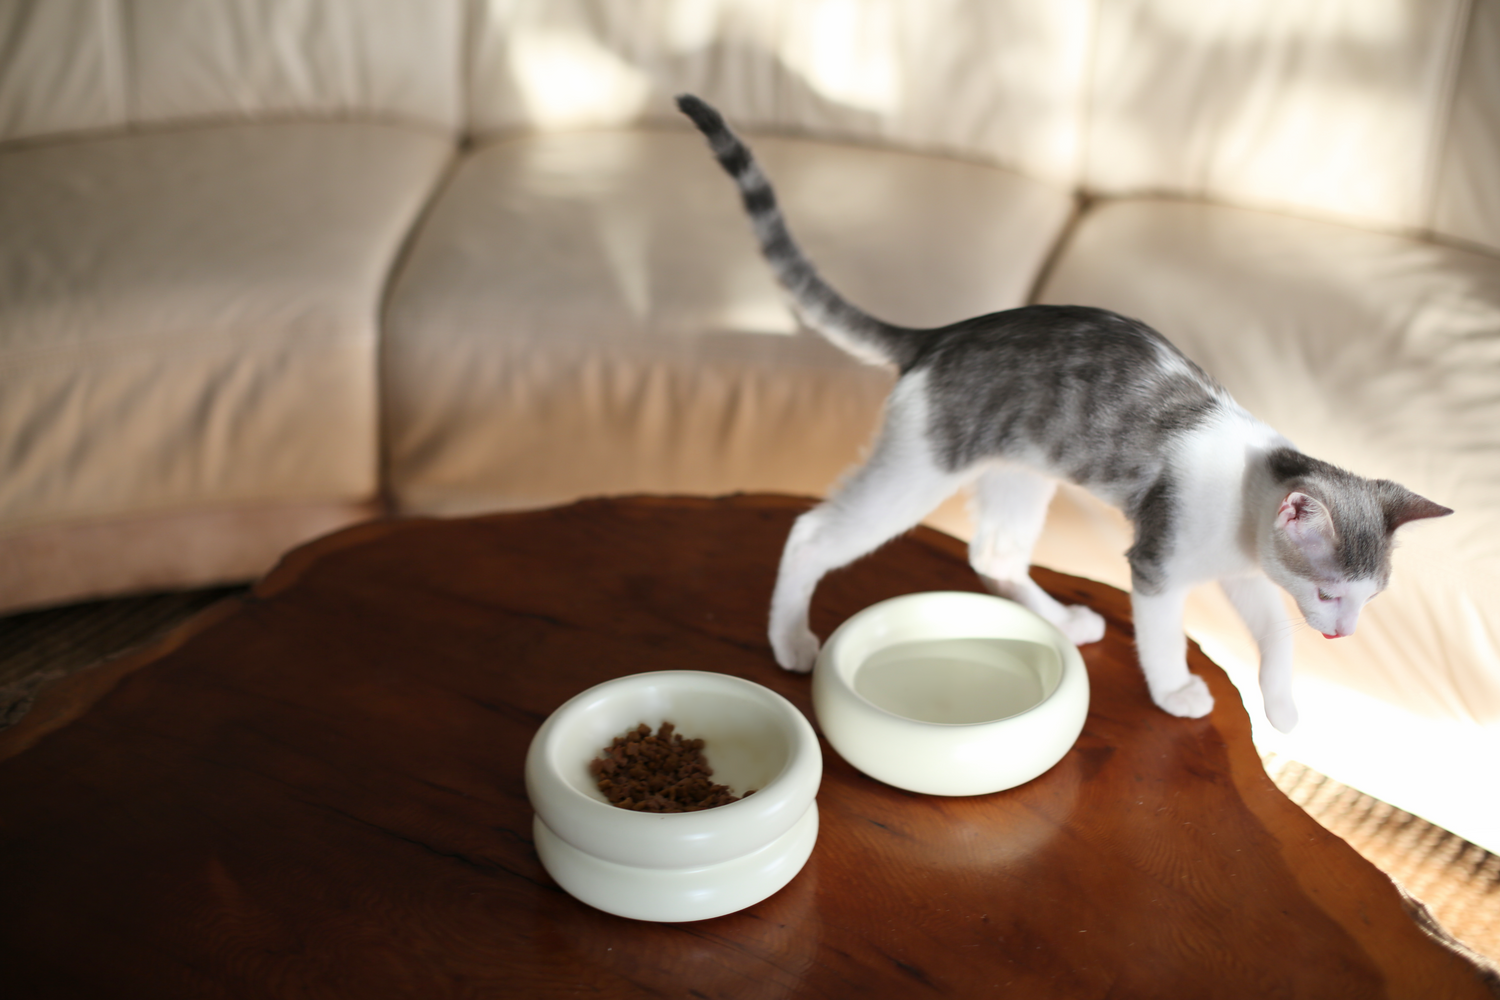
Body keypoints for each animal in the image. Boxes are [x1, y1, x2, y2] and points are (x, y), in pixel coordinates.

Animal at [681, 95, 1452, 734]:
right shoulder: (1158, 565)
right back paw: (789, 639)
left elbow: (1274, 634)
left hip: (1019, 476)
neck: (1248, 491)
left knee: (991, 554)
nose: (1343, 634)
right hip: (914, 473)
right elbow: (1163, 636)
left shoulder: (1243, 571)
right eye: (1328, 592)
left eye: (1367, 598)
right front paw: (1174, 690)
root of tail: (941, 335)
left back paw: (1057, 620)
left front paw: (1285, 707)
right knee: (811, 533)